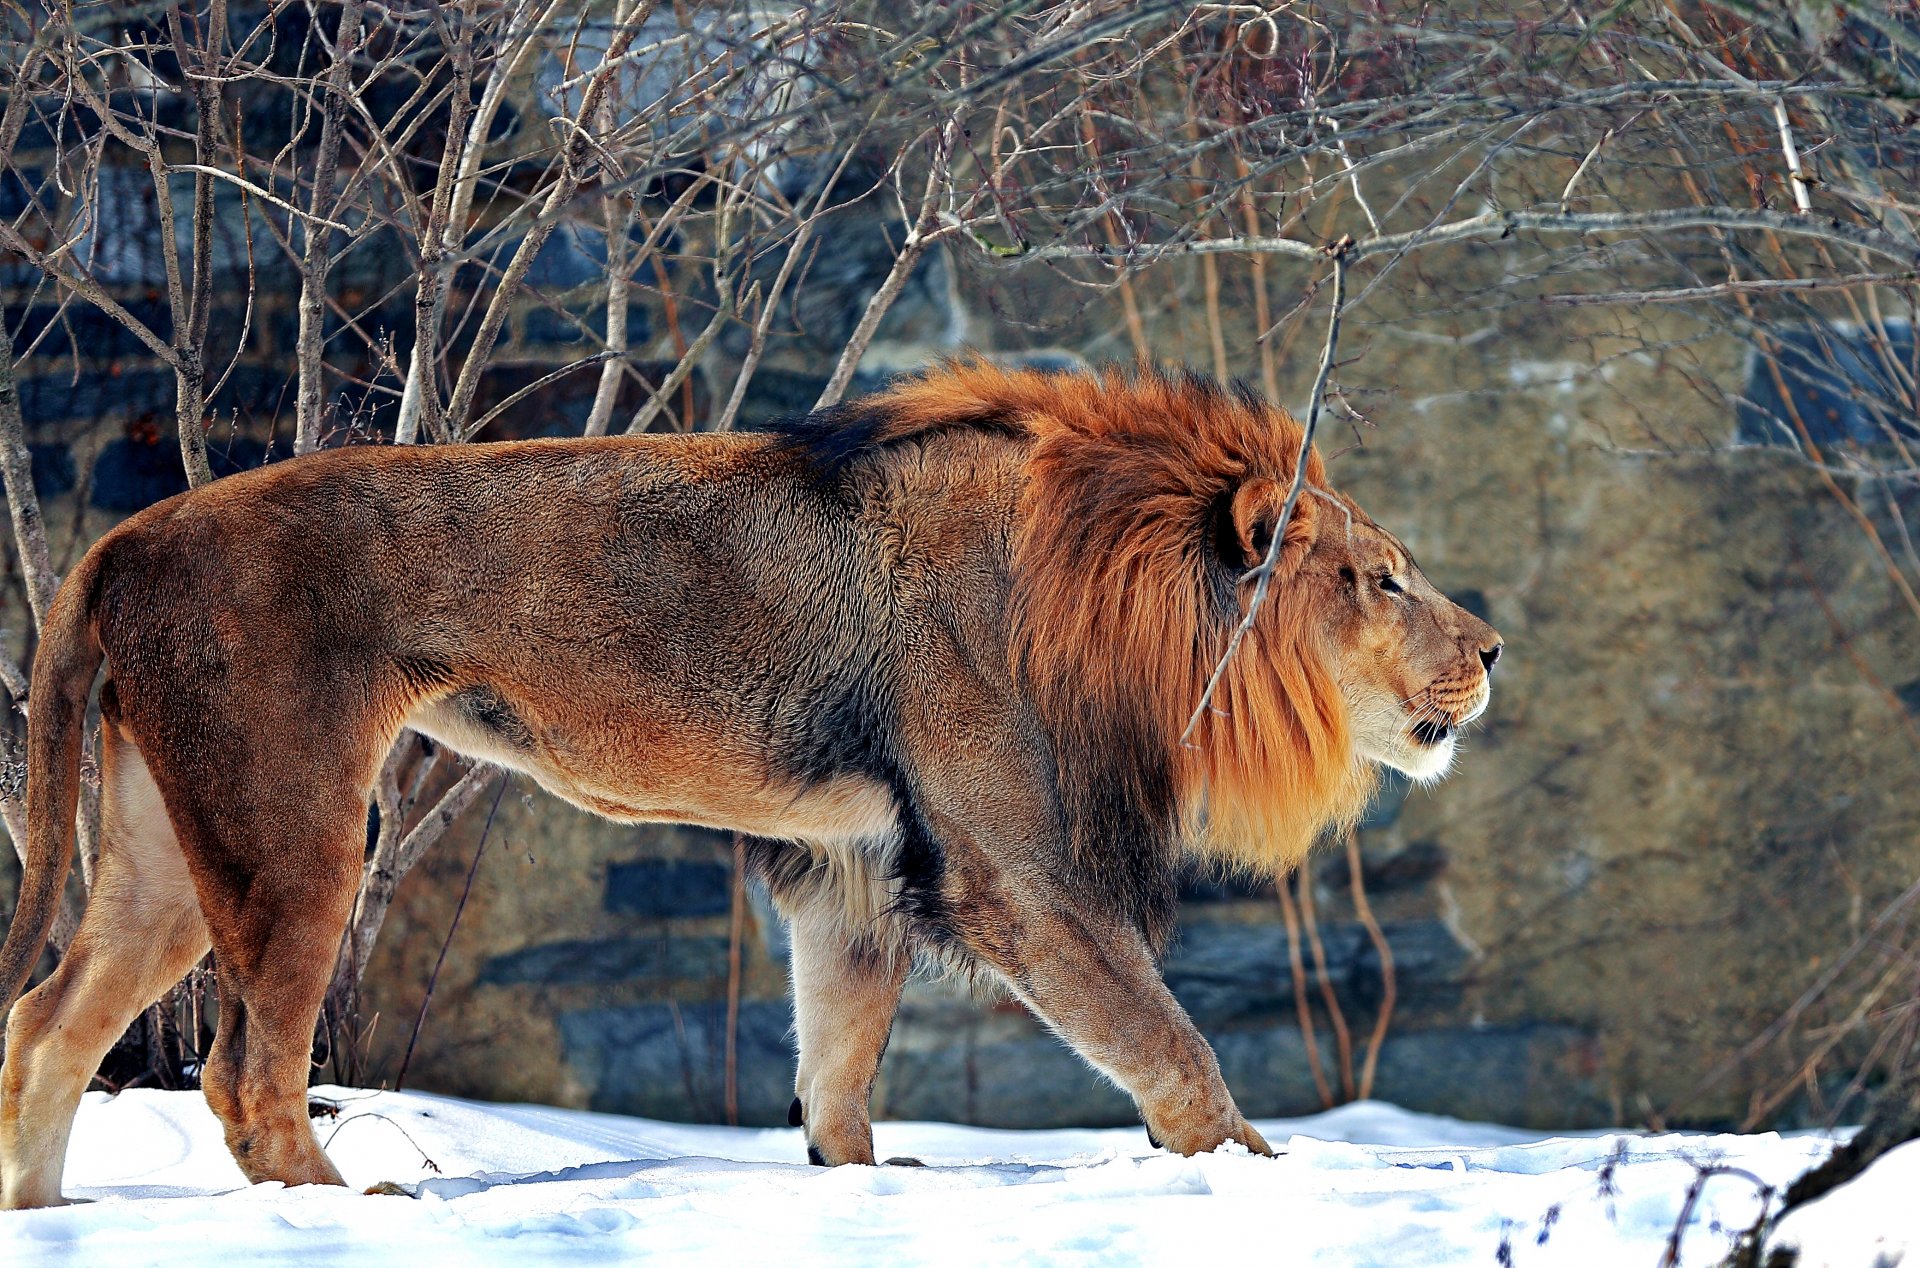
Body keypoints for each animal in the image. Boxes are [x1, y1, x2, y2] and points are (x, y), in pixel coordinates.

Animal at [0, 361, 1500, 1208]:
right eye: (1382, 581)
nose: (1492, 649)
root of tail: (123, 537)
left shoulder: (853, 869)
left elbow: (837, 1061)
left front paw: (856, 1185)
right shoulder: (1015, 875)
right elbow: (1171, 1046)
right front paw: (1257, 1178)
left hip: (165, 846)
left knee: (52, 1021)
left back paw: (53, 1215)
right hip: (298, 825)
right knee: (243, 1071)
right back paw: (348, 1205)